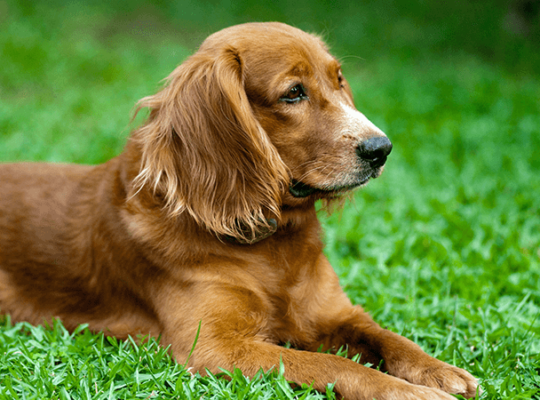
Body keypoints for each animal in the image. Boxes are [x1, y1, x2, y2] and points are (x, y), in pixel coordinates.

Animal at [1, 22, 480, 400]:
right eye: (293, 93)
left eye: (339, 80)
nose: (381, 148)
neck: (272, 243)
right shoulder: (216, 348)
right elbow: (332, 365)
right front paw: (408, 392)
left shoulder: (336, 314)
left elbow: (389, 337)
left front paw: (439, 371)